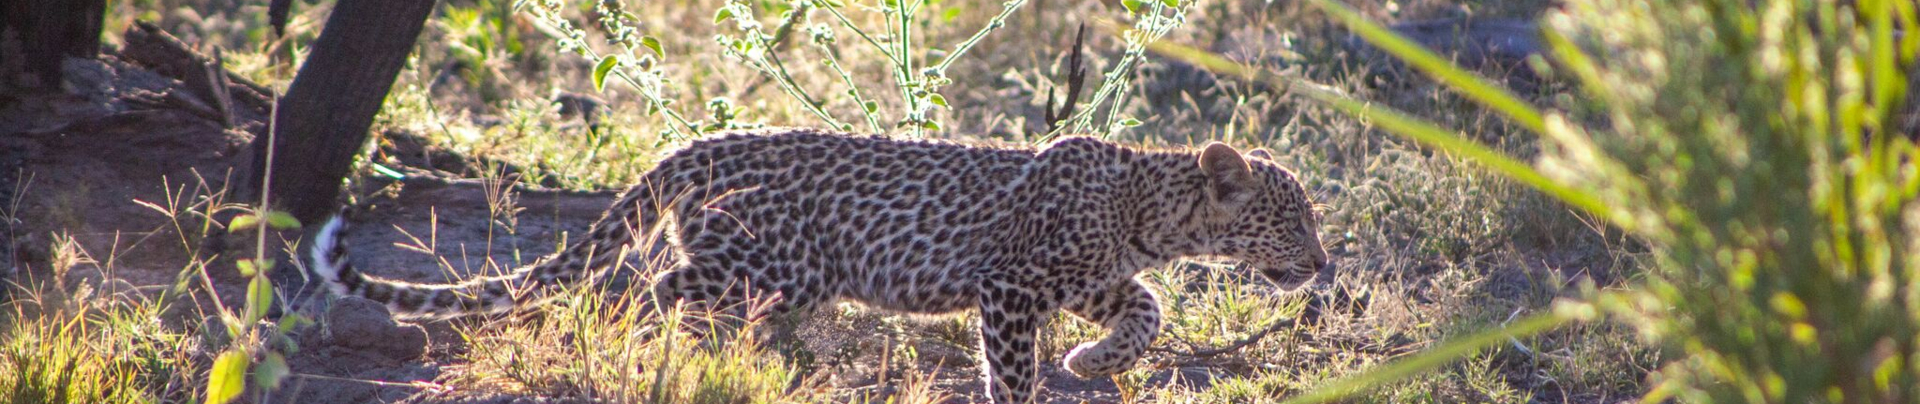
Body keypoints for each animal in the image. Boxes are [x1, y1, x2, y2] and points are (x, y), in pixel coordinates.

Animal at [307, 127, 1331, 403]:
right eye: (1292, 220)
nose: (1323, 265)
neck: (1150, 210)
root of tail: (704, 145)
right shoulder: (1011, 288)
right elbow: (1010, 369)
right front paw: (1048, 379)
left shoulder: (1091, 280)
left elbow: (1149, 308)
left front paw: (1092, 360)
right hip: (763, 263)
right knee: (645, 290)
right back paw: (632, 350)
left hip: (762, 274)